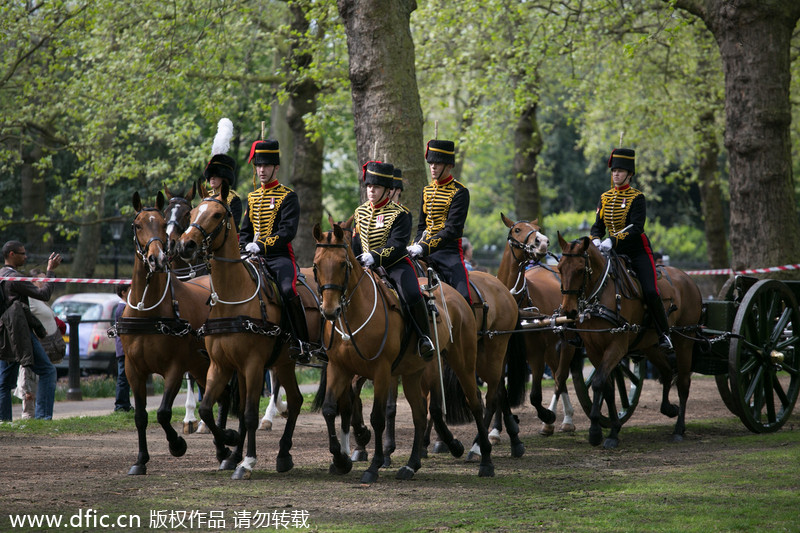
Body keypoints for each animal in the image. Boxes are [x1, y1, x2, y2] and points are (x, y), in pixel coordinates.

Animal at [114, 191, 225, 474]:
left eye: (162, 224)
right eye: (137, 225)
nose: (157, 259)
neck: (149, 310)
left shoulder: (175, 367)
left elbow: (163, 413)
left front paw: (177, 444)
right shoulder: (133, 369)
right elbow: (140, 416)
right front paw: (140, 460)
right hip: (202, 364)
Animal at [176, 182, 304, 478]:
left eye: (216, 215)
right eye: (193, 214)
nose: (186, 245)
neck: (232, 298)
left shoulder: (253, 364)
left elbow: (249, 414)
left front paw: (247, 461)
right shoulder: (221, 365)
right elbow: (207, 408)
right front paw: (229, 444)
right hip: (283, 362)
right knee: (295, 400)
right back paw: (281, 454)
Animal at [310, 222, 494, 480]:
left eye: (342, 264)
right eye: (316, 265)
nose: (330, 310)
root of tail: (457, 295)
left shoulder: (382, 371)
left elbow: (378, 417)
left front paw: (374, 465)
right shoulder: (340, 368)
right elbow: (329, 409)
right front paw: (340, 460)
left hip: (463, 362)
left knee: (475, 402)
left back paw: (484, 459)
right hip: (413, 372)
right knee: (419, 412)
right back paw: (411, 464)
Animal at [496, 214, 580, 434]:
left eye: (538, 228)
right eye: (517, 229)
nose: (542, 241)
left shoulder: (535, 354)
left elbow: (535, 396)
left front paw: (547, 415)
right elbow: (498, 393)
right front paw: (495, 431)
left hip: (566, 341)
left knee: (560, 376)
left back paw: (564, 419)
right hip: (550, 346)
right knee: (558, 375)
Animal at [556, 235, 700, 446]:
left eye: (580, 269)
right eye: (559, 268)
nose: (568, 311)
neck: (602, 294)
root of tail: (689, 279)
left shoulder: (617, 346)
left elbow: (598, 383)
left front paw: (597, 432)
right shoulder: (593, 349)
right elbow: (607, 386)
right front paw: (613, 428)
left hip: (684, 342)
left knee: (683, 382)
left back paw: (679, 429)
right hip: (650, 345)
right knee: (666, 372)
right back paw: (668, 408)